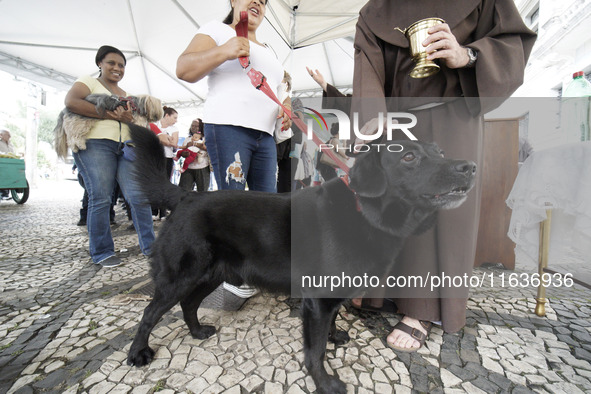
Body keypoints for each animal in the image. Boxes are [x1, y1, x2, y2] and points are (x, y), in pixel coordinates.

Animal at [126, 127, 476, 394]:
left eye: (440, 151)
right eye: (408, 157)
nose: (469, 167)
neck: (366, 212)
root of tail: (186, 195)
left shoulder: (330, 298)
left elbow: (331, 325)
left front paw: (335, 337)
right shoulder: (317, 301)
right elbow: (315, 350)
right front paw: (325, 383)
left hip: (212, 274)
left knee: (188, 304)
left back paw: (197, 332)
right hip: (181, 276)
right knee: (149, 313)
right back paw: (138, 353)